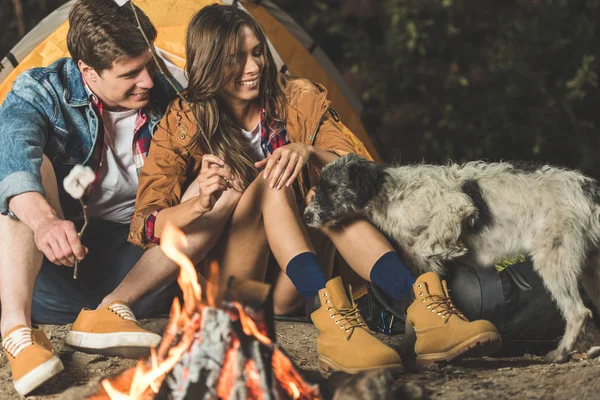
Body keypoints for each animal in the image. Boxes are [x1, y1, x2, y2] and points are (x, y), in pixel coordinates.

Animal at [302, 153, 600, 362]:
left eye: (332, 188)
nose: (305, 216)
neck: (391, 195)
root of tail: (587, 187)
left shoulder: (456, 206)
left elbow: (428, 246)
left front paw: (451, 249)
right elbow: (414, 305)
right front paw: (411, 347)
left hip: (553, 259)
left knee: (578, 312)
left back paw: (559, 353)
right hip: (589, 268)